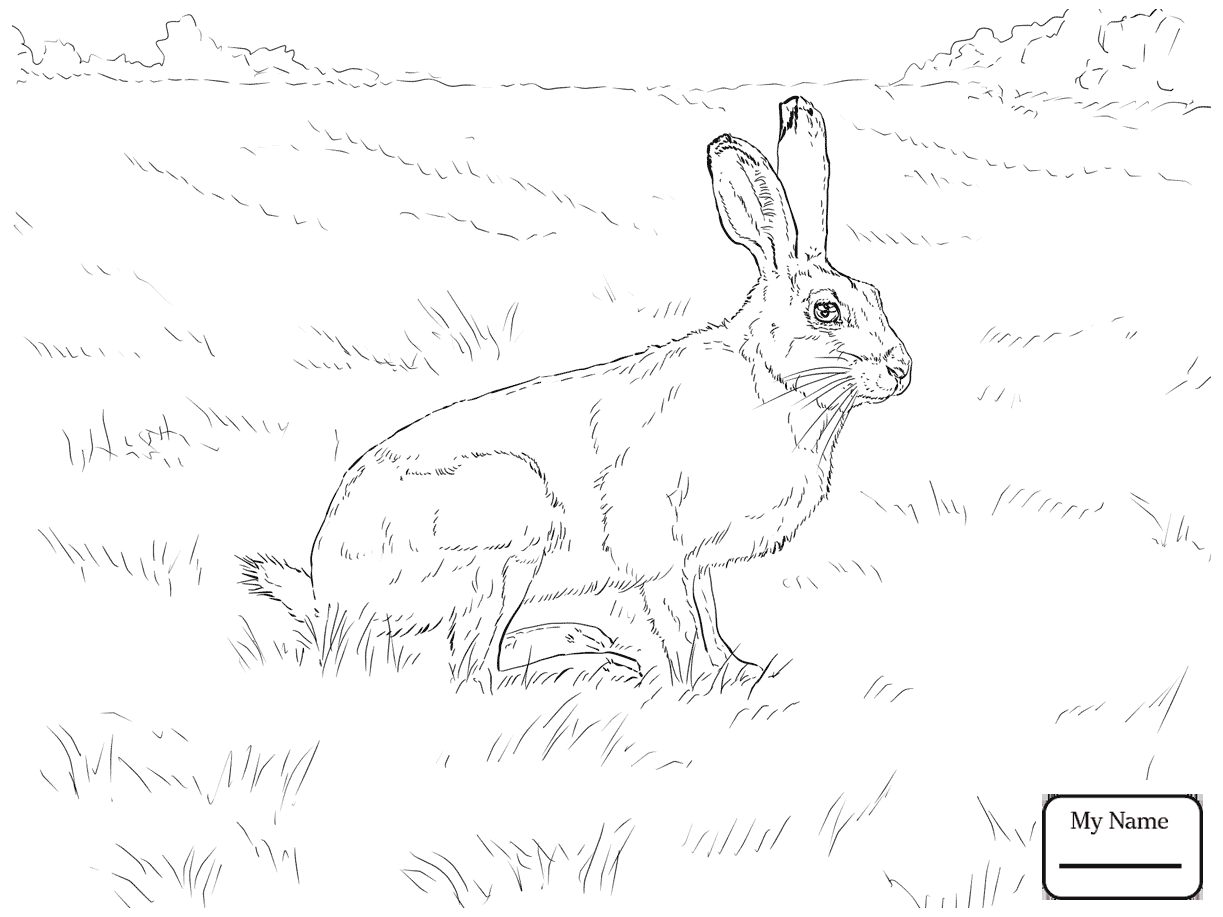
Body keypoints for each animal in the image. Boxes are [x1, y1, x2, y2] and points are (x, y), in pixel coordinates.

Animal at [240, 95, 911, 687]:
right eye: (826, 311)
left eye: (878, 296)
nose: (901, 370)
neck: (772, 390)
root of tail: (329, 594)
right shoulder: (654, 541)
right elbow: (679, 621)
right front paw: (700, 682)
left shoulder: (695, 559)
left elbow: (708, 614)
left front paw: (739, 669)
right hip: (508, 530)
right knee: (469, 668)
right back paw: (594, 668)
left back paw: (584, 643)